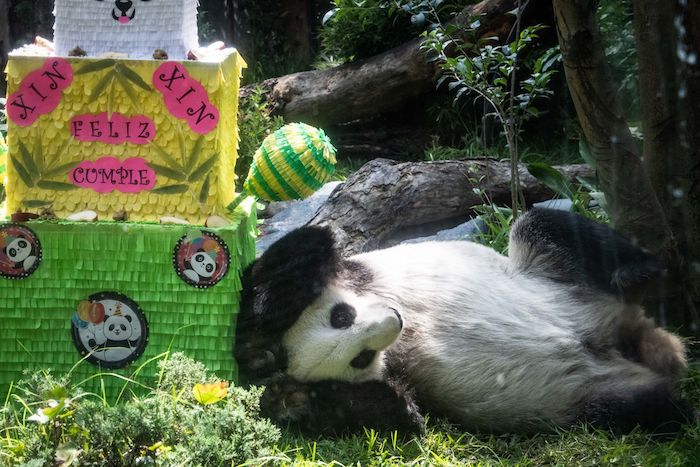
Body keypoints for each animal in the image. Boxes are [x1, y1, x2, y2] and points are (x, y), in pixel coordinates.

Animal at [235, 208, 696, 436]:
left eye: (341, 315)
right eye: (359, 358)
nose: (393, 320)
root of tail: (618, 335)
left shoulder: (350, 271)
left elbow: (272, 278)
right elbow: (393, 417)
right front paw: (294, 400)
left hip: (552, 274)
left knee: (545, 226)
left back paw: (646, 269)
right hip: (589, 396)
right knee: (649, 408)